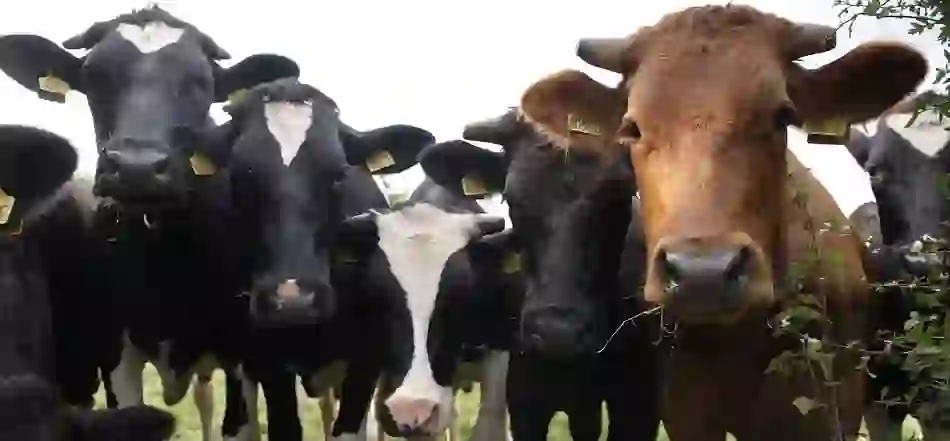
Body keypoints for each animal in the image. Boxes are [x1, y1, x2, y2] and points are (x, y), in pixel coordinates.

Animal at [511, 4, 927, 440]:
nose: (703, 272)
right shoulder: (686, 413)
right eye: (632, 128)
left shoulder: (830, 409)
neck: (741, 339)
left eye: (782, 116)